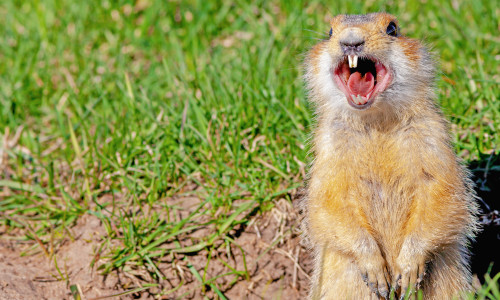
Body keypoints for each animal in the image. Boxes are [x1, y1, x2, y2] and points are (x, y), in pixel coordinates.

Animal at [302, 12, 478, 298]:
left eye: (392, 28)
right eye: (329, 31)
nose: (350, 41)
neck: (376, 122)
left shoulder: (432, 137)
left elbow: (441, 192)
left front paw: (407, 271)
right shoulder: (329, 148)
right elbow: (329, 202)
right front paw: (376, 272)